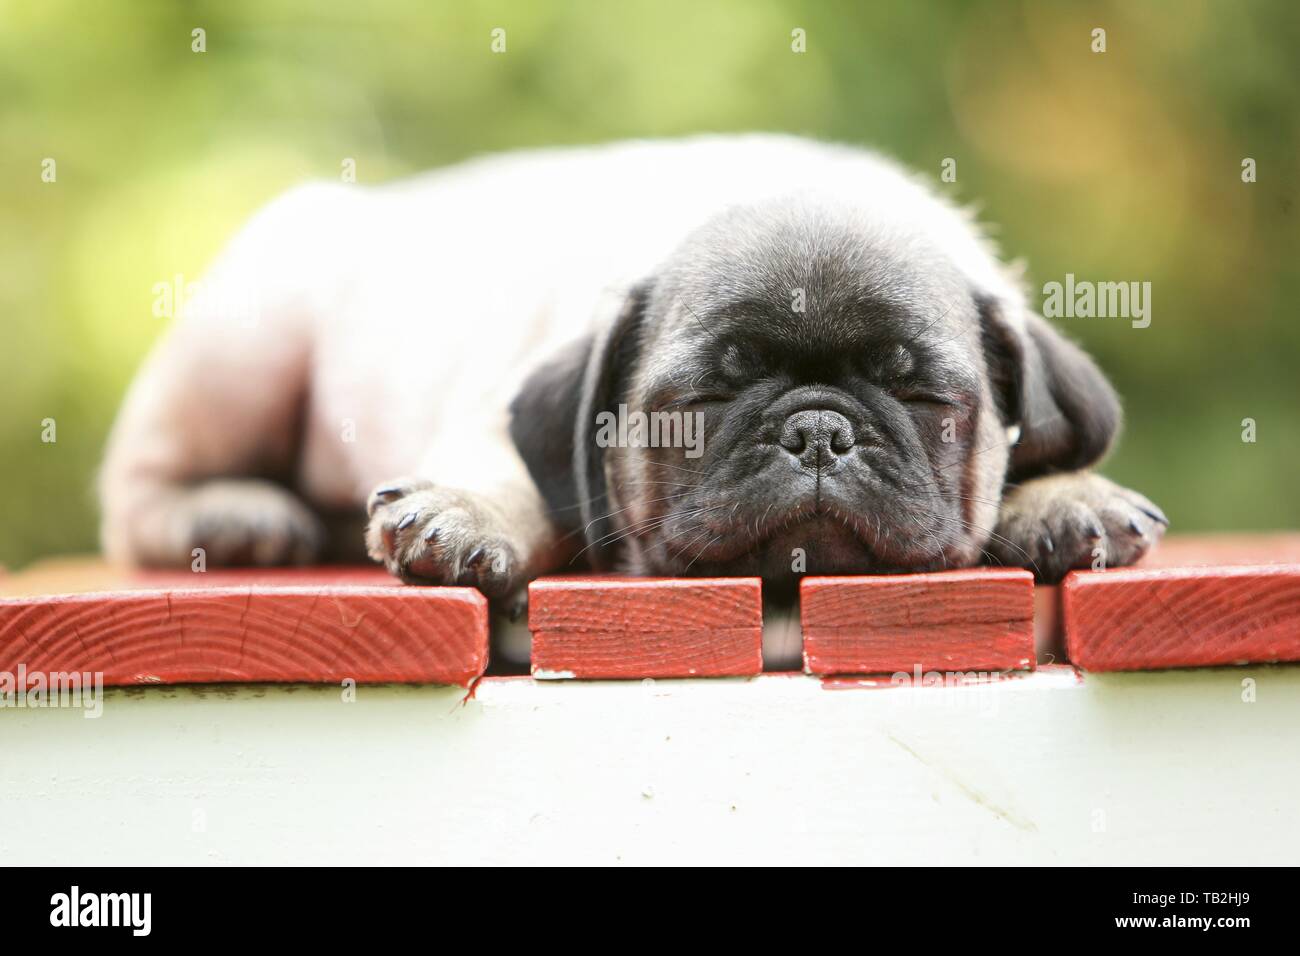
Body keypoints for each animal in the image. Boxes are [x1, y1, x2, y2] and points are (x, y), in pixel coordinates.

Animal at [96, 136, 1164, 598]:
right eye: (705, 400)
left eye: (920, 395)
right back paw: (232, 518)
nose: (818, 429)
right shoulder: (505, 409)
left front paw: (1065, 495)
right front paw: (465, 517)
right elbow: (508, 473)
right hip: (242, 349)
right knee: (134, 497)